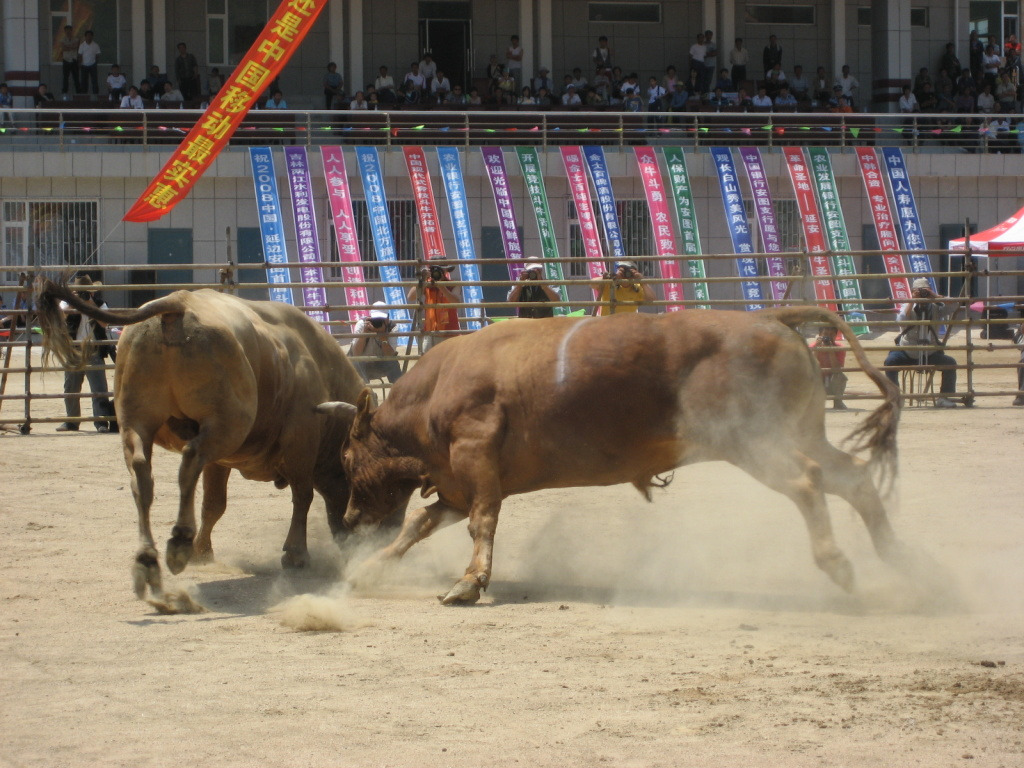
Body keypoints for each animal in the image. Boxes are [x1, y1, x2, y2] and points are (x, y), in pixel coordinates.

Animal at [35, 280, 364, 606]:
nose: (359, 531)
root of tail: (177, 305)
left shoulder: (221, 460)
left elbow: (214, 503)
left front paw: (202, 550)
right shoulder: (300, 440)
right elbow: (302, 496)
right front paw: (295, 554)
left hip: (138, 422)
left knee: (143, 475)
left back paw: (149, 560)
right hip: (226, 426)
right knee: (190, 458)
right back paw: (180, 540)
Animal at [321, 307, 905, 606]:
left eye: (347, 461)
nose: (347, 518)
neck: (435, 391)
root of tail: (770, 318)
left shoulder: (476, 459)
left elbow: (481, 522)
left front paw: (469, 583)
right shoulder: (455, 484)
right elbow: (418, 524)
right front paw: (368, 568)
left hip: (754, 441)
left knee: (807, 483)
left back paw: (840, 565)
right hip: (799, 432)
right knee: (852, 478)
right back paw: (905, 562)